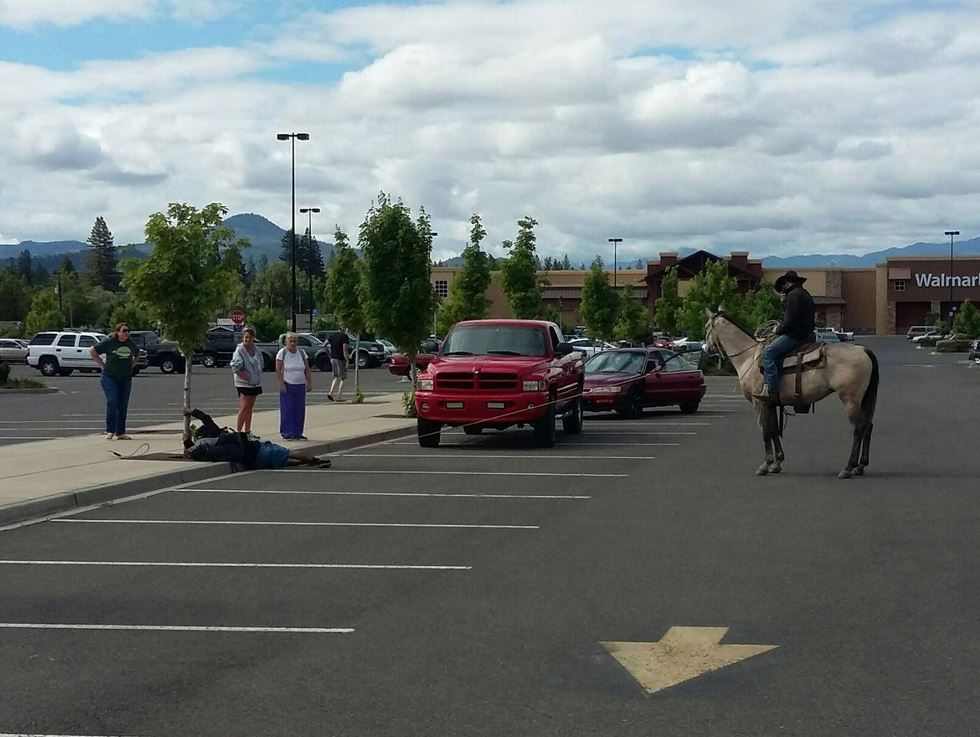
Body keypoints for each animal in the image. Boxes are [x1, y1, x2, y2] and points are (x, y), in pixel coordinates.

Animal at [704, 310, 880, 478]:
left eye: (707, 327)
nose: (706, 349)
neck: (748, 357)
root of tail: (863, 350)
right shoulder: (771, 403)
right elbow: (774, 430)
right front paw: (777, 463)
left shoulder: (759, 402)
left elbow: (765, 431)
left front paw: (765, 465)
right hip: (864, 399)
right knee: (867, 426)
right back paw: (860, 466)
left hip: (850, 399)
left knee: (858, 429)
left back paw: (848, 468)